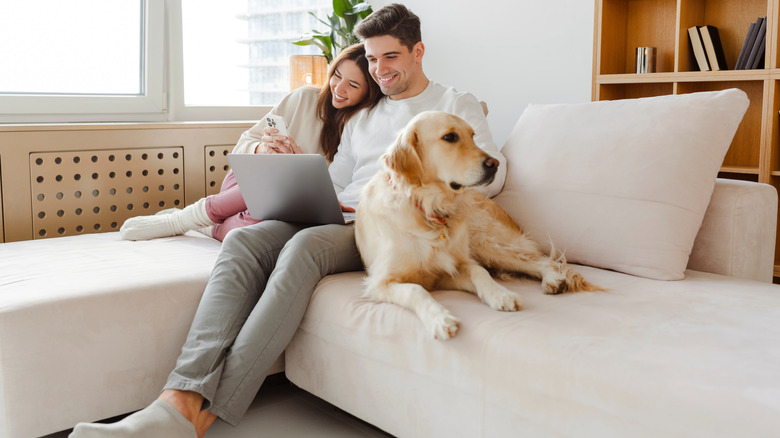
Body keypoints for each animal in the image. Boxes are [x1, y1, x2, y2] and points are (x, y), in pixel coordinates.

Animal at [356, 111, 600, 340]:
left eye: (472, 135)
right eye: (450, 137)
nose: (495, 164)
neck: (429, 210)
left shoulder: (452, 267)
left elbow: (478, 271)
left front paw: (500, 294)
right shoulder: (381, 282)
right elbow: (416, 290)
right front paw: (440, 319)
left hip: (486, 243)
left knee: (540, 260)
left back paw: (553, 279)